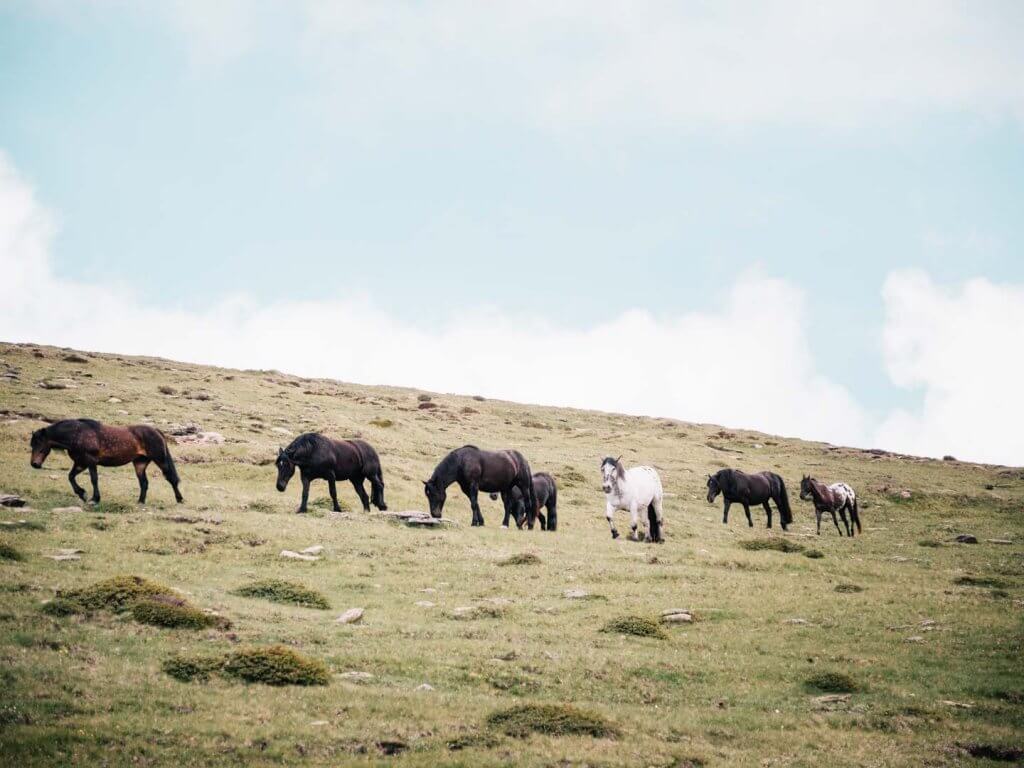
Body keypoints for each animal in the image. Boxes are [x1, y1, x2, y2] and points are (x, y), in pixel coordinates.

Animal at [28, 417, 184, 507]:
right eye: (32, 444)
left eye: (40, 444)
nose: (34, 464)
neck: (77, 435)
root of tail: (156, 431)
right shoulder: (80, 463)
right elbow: (71, 477)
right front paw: (82, 494)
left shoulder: (90, 461)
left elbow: (94, 479)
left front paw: (94, 499)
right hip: (139, 463)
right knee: (144, 483)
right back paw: (140, 502)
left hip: (160, 460)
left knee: (171, 478)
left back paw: (179, 499)